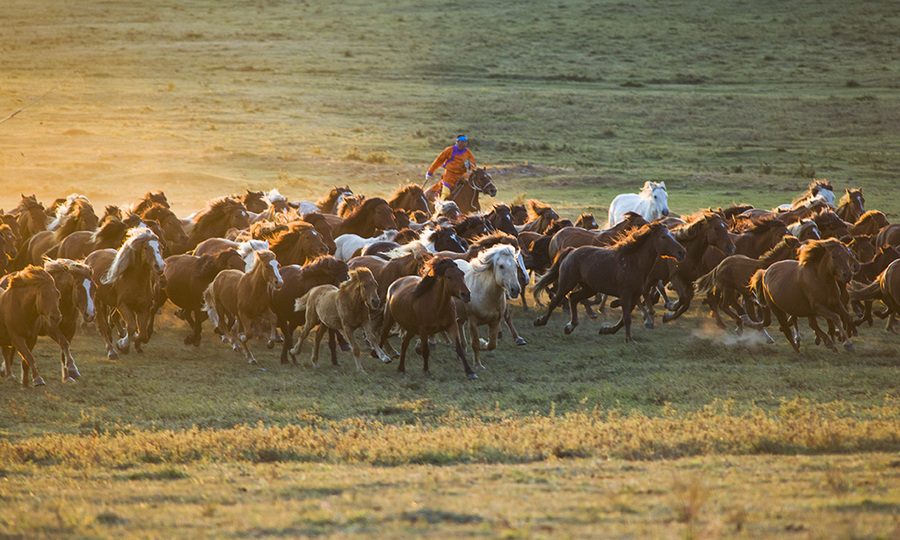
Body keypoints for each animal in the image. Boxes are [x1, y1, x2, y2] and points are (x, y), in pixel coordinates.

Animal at [86, 227, 169, 358]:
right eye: (146, 248)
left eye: (160, 247)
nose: (160, 266)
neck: (135, 280)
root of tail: (91, 256)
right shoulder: (123, 306)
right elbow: (131, 327)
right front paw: (122, 344)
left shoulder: (143, 308)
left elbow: (142, 333)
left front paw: (128, 343)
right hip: (98, 302)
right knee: (104, 327)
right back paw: (111, 351)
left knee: (112, 319)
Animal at [532, 220, 684, 340]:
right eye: (663, 236)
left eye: (672, 235)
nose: (682, 252)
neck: (633, 262)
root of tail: (571, 251)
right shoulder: (625, 294)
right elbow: (627, 318)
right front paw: (629, 339)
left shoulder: (635, 295)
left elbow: (624, 318)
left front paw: (607, 330)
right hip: (567, 283)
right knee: (556, 300)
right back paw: (540, 321)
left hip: (589, 288)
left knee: (573, 298)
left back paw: (570, 326)